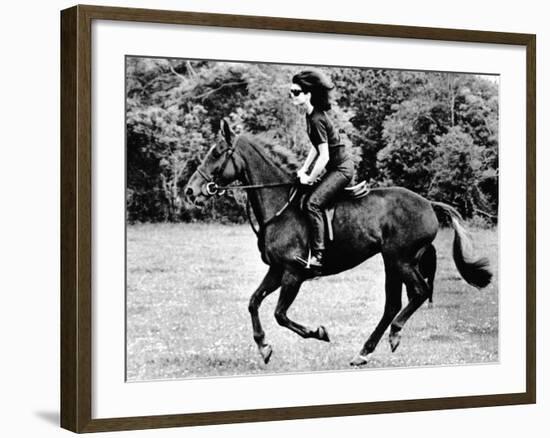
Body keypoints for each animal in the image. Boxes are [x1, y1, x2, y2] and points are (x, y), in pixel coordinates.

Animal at [184, 120, 492, 366]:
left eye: (217, 152)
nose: (190, 190)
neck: (280, 207)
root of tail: (428, 204)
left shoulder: (293, 273)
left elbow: (280, 314)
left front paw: (318, 333)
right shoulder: (276, 270)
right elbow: (253, 302)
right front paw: (263, 346)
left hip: (400, 259)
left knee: (418, 291)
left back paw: (394, 334)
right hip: (391, 262)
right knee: (393, 303)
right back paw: (364, 352)